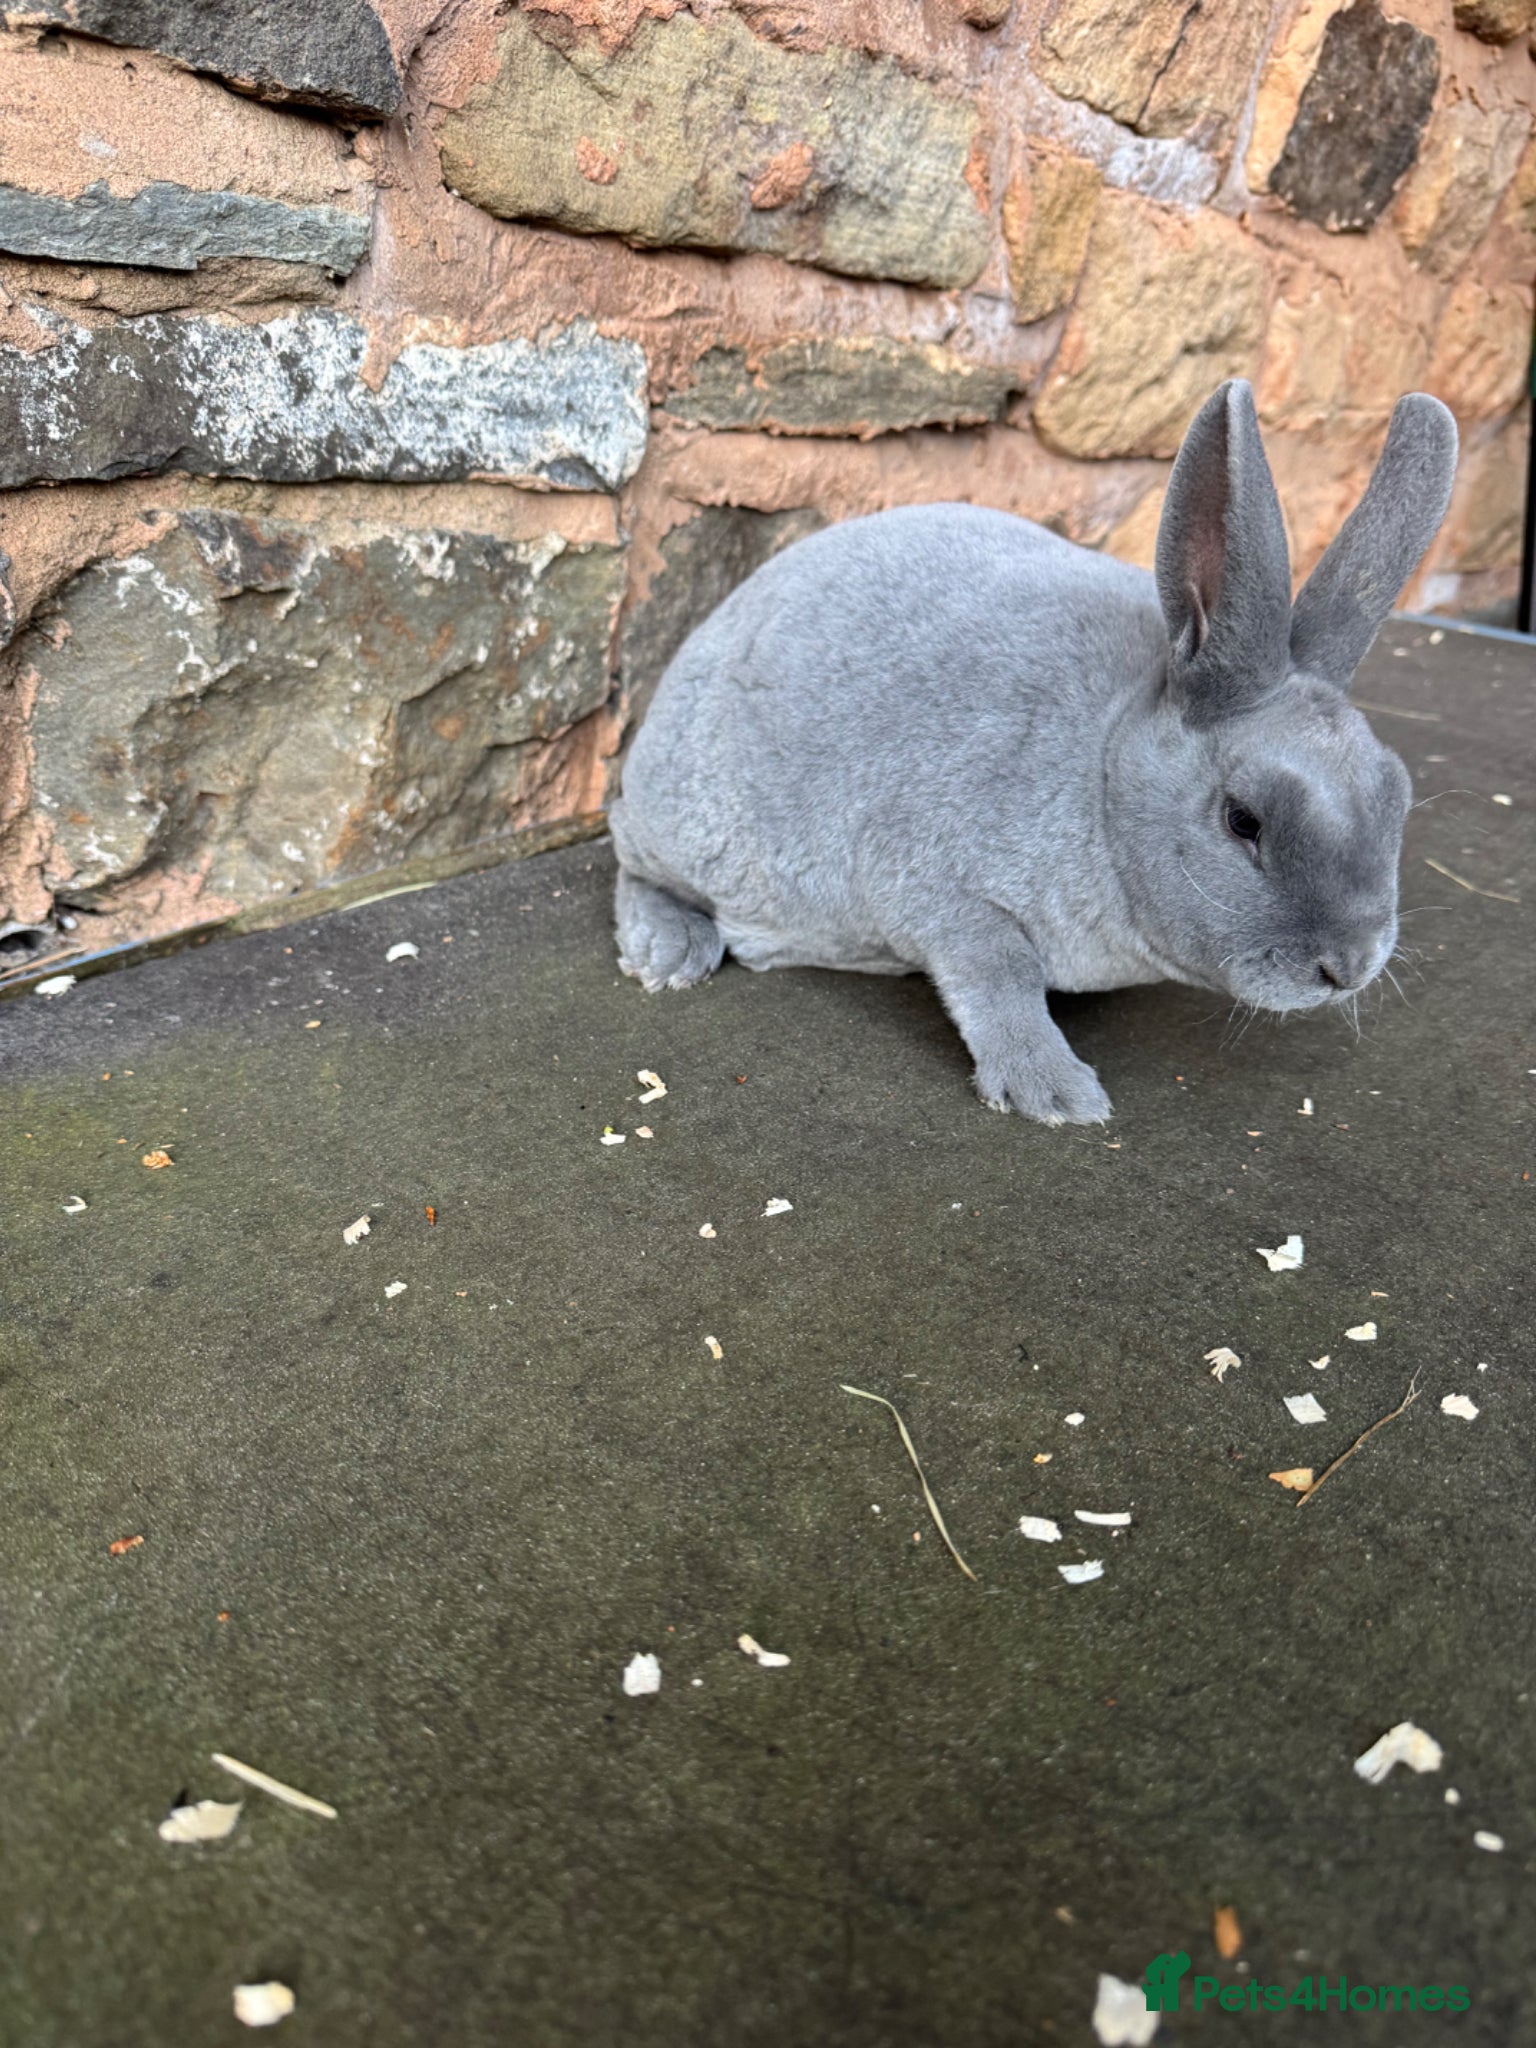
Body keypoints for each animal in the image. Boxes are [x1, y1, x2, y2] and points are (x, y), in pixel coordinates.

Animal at [609, 378, 1457, 1125]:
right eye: (1242, 820)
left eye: (1399, 795)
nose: (1351, 967)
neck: (1104, 769)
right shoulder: (944, 890)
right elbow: (999, 976)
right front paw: (1054, 1094)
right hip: (688, 821)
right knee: (631, 863)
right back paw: (669, 953)